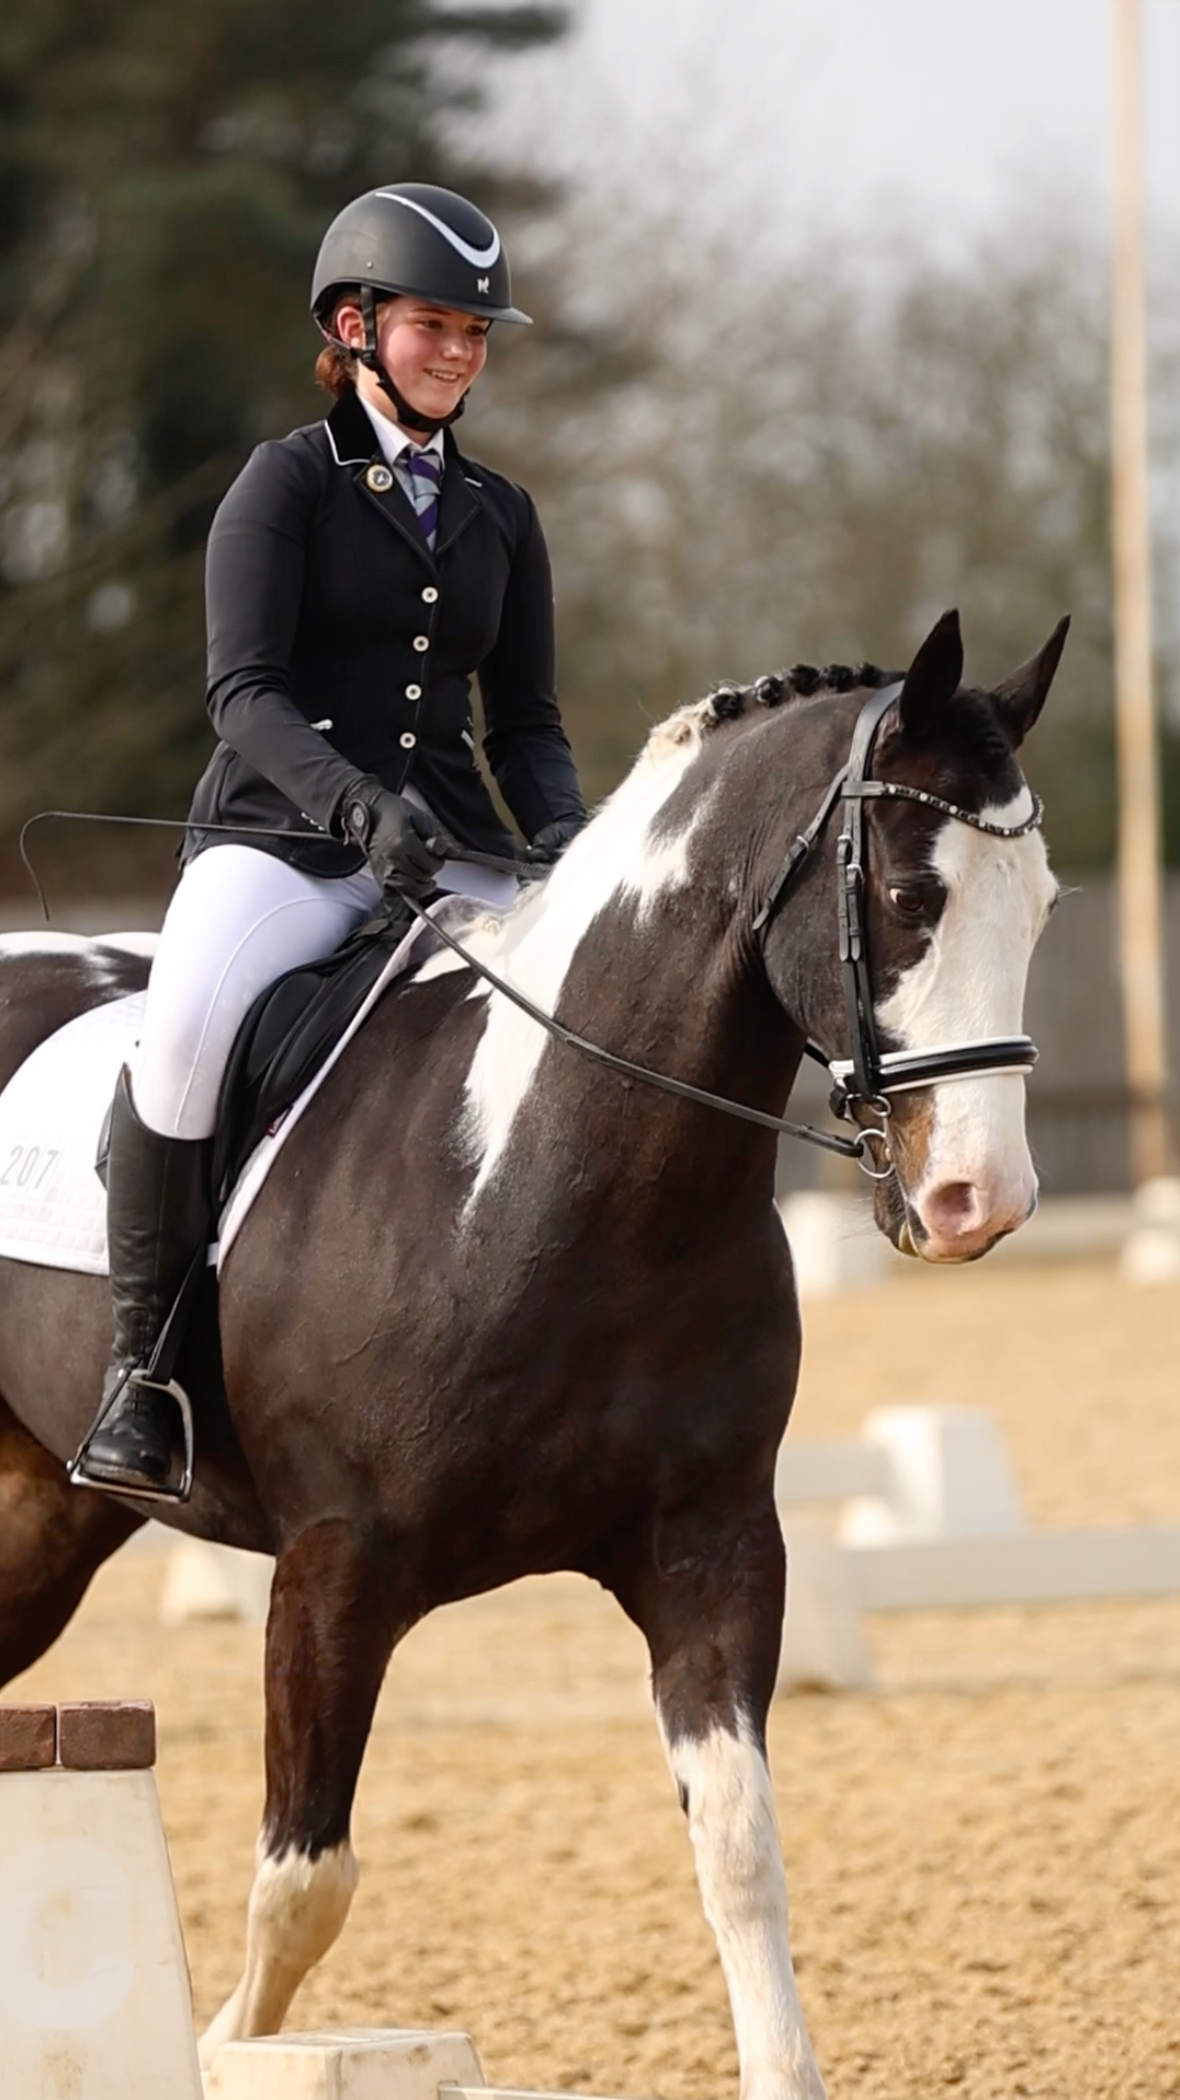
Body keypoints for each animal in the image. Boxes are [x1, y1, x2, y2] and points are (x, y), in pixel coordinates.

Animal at [0, 607, 1064, 2100]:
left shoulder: (713, 1548)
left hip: (43, 1516)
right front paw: (221, 2049)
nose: (982, 1201)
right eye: (912, 898)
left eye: (1044, 906)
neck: (555, 1179)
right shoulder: (335, 1567)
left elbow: (741, 1851)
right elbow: (302, 1884)